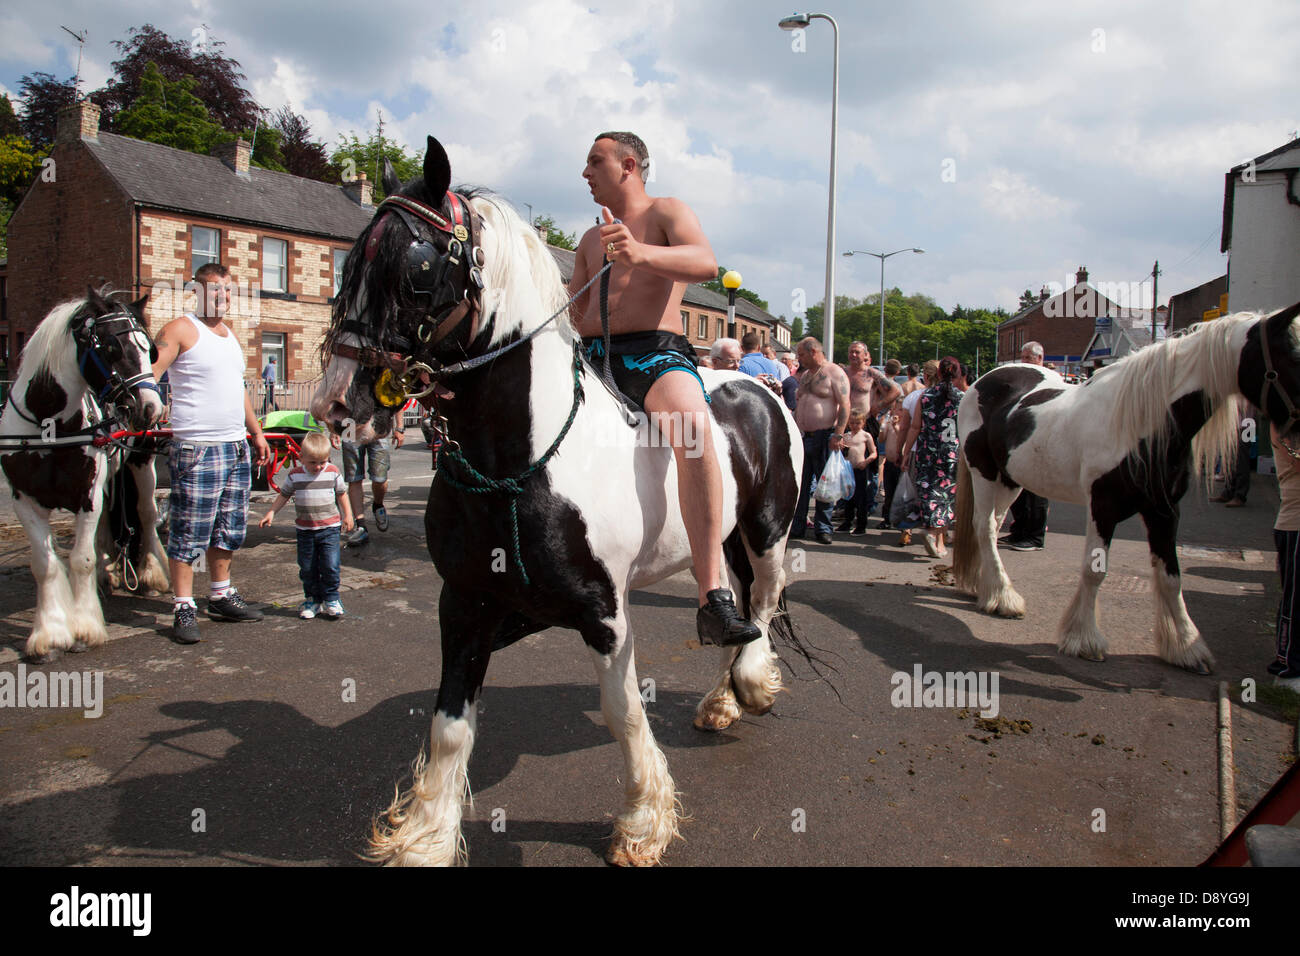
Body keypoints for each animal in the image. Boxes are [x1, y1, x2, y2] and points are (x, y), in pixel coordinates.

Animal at [0, 290, 167, 665]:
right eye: (111, 347)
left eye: (150, 349)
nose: (151, 408)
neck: (49, 427)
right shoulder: (24, 500)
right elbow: (44, 564)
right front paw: (49, 634)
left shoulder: (85, 496)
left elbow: (81, 559)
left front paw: (85, 628)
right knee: (107, 524)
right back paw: (108, 573)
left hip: (142, 461)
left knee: (146, 515)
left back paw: (150, 572)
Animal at [314, 136, 800, 868]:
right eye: (351, 260)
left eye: (417, 266)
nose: (337, 398)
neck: (519, 463)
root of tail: (756, 385)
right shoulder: (467, 603)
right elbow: (450, 724)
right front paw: (425, 836)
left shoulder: (605, 613)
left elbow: (623, 712)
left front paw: (642, 823)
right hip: (720, 543)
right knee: (736, 597)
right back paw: (722, 698)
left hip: (767, 531)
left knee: (761, 605)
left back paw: (745, 683)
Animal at [951, 304, 1300, 671]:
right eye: (1292, 355)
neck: (1145, 423)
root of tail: (982, 383)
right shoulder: (1103, 508)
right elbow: (1094, 571)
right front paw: (1084, 639)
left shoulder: (1165, 511)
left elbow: (1171, 577)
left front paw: (1185, 646)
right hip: (985, 473)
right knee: (985, 527)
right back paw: (1004, 598)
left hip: (1011, 480)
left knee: (991, 526)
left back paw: (989, 590)